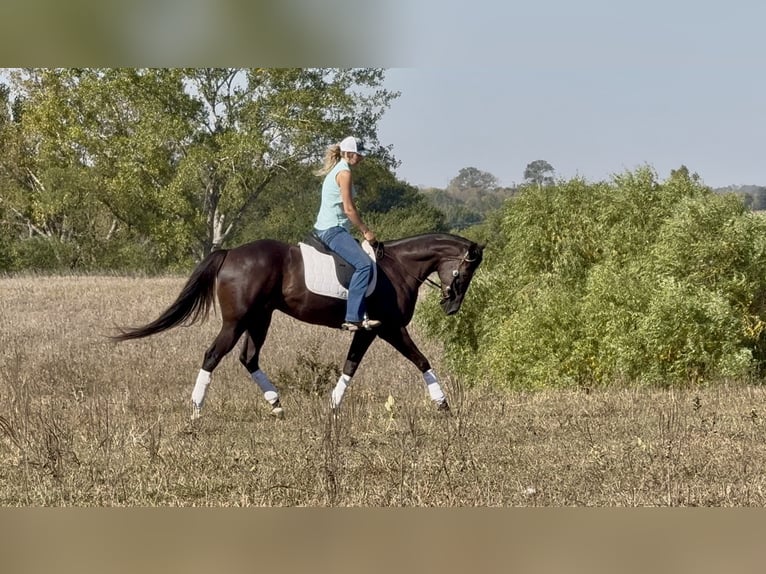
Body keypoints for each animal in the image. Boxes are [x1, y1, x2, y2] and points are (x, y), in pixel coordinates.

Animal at [113, 232, 484, 419]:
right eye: (466, 271)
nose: (451, 306)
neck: (398, 267)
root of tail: (230, 253)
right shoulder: (388, 328)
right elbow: (421, 361)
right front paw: (443, 404)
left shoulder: (368, 330)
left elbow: (350, 366)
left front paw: (332, 407)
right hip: (237, 321)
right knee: (212, 355)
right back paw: (196, 409)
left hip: (260, 318)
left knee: (249, 358)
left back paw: (276, 405)